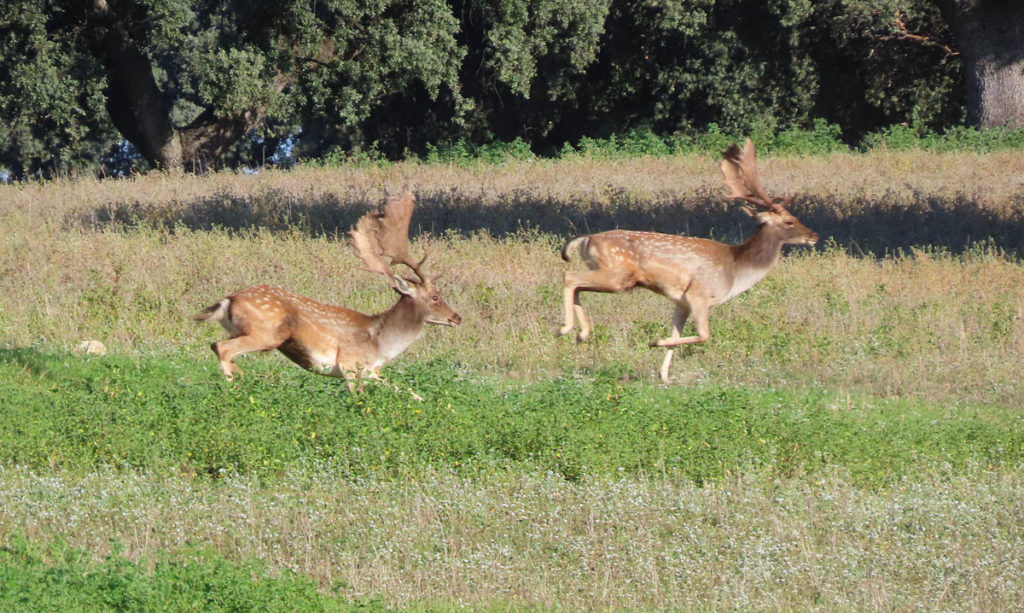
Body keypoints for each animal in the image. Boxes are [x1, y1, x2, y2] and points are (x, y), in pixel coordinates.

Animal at [195, 192, 460, 392]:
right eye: (435, 297)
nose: (457, 317)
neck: (380, 344)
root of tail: (228, 300)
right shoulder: (350, 363)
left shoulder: (373, 372)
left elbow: (411, 393)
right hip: (267, 333)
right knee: (221, 347)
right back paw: (236, 386)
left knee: (217, 345)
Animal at [557, 140, 819, 380]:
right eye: (789, 221)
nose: (814, 235)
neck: (735, 269)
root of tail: (587, 239)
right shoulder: (699, 295)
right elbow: (704, 335)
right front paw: (654, 342)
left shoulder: (681, 301)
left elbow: (676, 334)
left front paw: (664, 376)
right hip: (617, 274)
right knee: (570, 277)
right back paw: (566, 328)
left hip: (611, 275)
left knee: (577, 284)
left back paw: (581, 334)